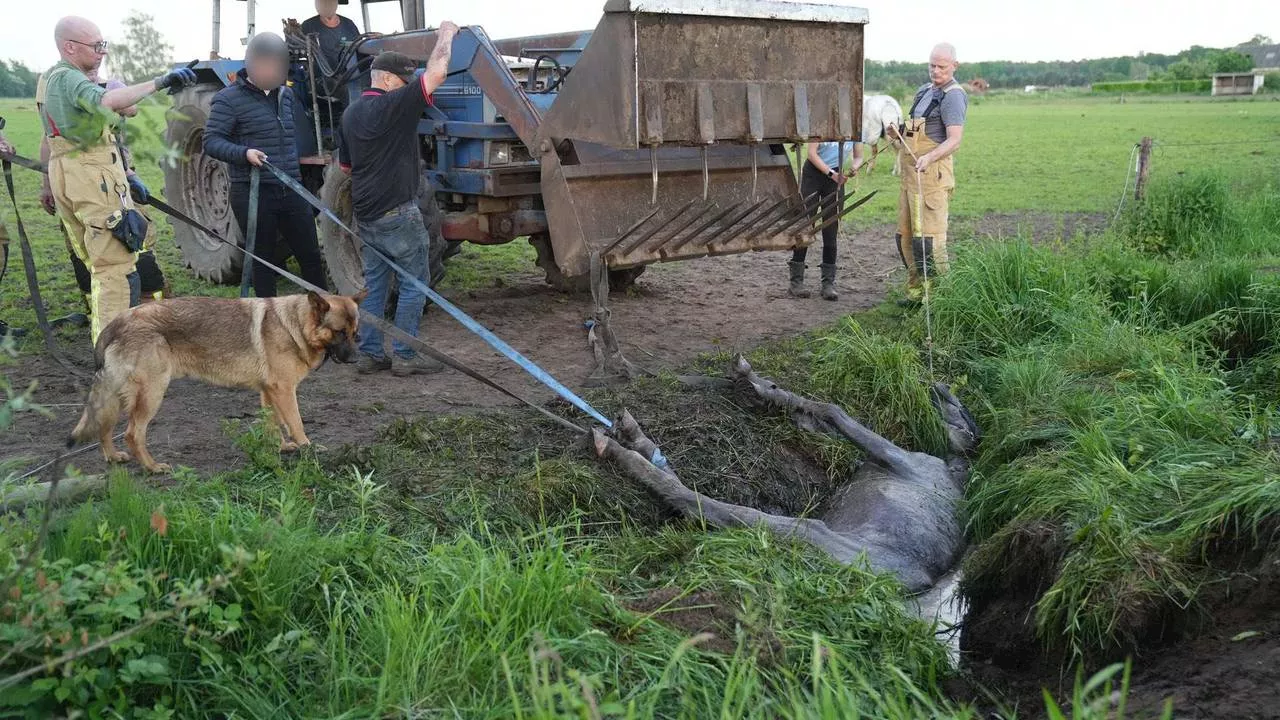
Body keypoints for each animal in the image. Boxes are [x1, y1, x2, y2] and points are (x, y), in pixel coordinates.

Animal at [70, 288, 368, 474]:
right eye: (339, 332)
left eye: (356, 333)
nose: (356, 360)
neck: (295, 324)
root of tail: (116, 322)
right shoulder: (284, 391)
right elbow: (295, 423)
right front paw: (308, 448)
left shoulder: (269, 392)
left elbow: (273, 424)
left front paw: (281, 448)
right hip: (152, 394)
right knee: (133, 434)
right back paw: (152, 467)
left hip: (120, 395)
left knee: (104, 426)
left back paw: (112, 456)